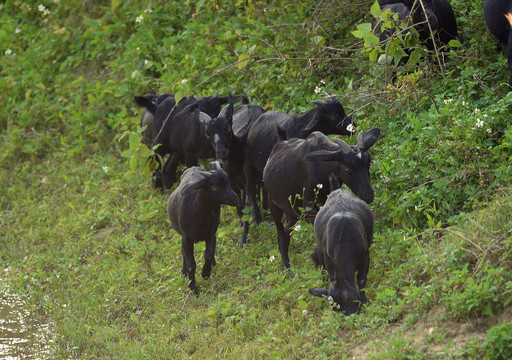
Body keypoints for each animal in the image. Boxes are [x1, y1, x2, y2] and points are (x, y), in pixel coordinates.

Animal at [168, 162, 240, 294]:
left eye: (228, 182)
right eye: (215, 187)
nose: (235, 199)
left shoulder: (211, 234)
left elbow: (209, 254)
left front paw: (205, 273)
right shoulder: (186, 238)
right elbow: (191, 264)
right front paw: (193, 288)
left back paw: (212, 266)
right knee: (183, 254)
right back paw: (184, 273)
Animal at [244, 95, 356, 225]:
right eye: (334, 113)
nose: (352, 126)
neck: (299, 128)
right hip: (249, 165)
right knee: (250, 187)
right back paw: (257, 217)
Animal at [262, 128, 378, 268]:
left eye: (369, 163)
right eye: (347, 168)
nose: (369, 194)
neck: (323, 167)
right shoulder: (309, 208)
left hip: (293, 212)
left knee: (287, 231)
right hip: (274, 205)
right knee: (281, 236)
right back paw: (287, 268)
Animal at [306, 174, 374, 316]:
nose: (351, 314)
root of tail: (337, 190)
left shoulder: (365, 256)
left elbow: (361, 280)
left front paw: (365, 303)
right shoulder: (328, 259)